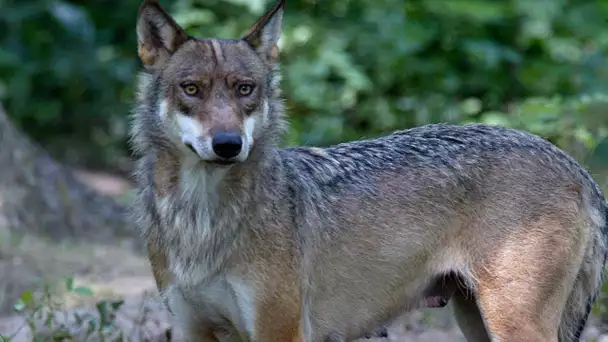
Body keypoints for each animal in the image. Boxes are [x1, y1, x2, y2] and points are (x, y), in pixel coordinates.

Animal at [128, 0, 608, 340]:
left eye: (245, 90)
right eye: (192, 89)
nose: (228, 145)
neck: (201, 218)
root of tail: (574, 166)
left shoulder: (280, 331)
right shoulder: (191, 329)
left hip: (511, 324)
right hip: (476, 322)